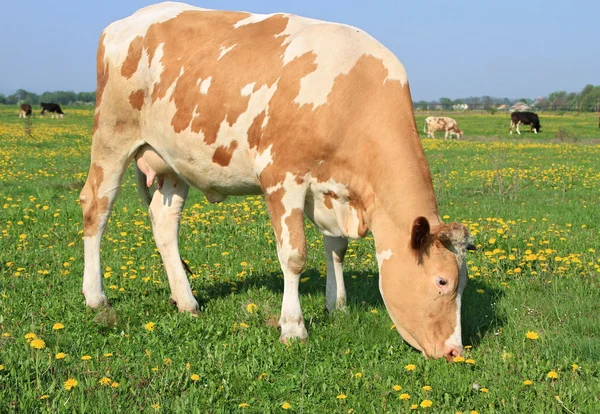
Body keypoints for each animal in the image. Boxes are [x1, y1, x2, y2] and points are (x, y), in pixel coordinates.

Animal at [81, 1, 474, 360]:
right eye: (442, 281)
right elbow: (294, 255)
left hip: (174, 163)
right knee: (96, 208)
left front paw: (337, 305)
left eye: (464, 284)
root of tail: (130, 19)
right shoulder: (282, 179)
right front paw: (293, 327)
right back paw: (96, 297)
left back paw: (186, 300)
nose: (455, 350)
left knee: (164, 224)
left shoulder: (330, 189)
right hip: (112, 137)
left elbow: (337, 248)